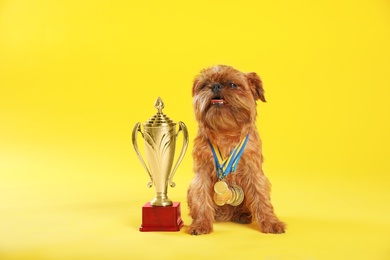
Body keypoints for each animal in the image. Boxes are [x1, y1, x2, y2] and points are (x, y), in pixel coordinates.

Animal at [187, 65, 284, 236]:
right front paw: (200, 224)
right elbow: (201, 197)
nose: (215, 86)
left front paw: (271, 222)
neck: (225, 132)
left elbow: (261, 196)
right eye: (205, 84)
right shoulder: (202, 173)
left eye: (232, 85)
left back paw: (243, 215)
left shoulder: (254, 171)